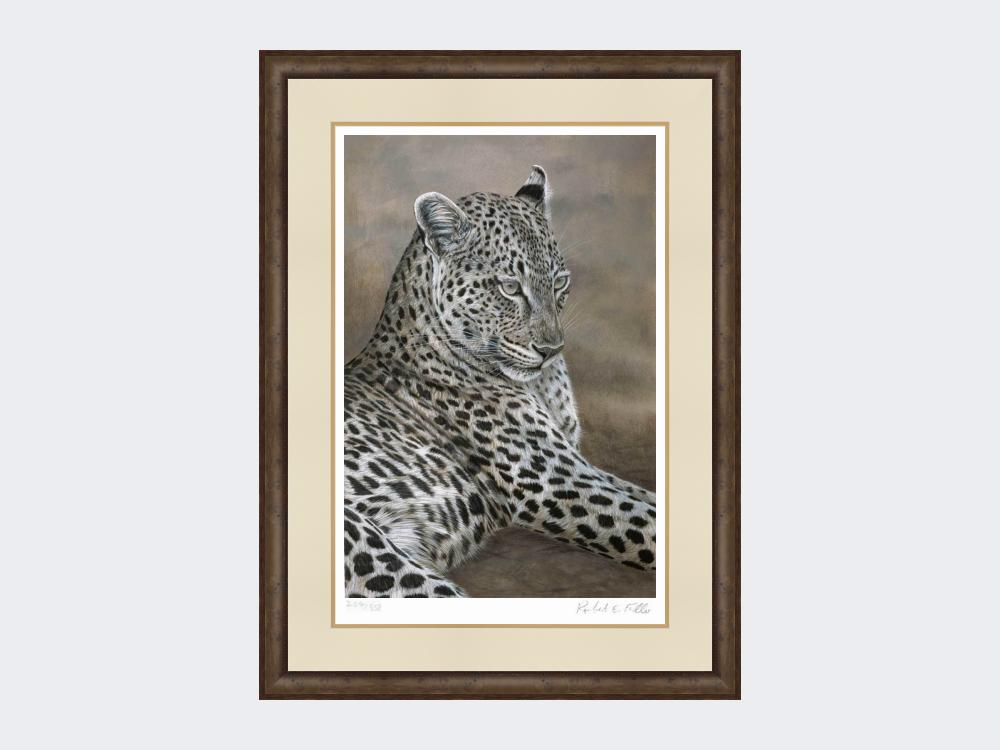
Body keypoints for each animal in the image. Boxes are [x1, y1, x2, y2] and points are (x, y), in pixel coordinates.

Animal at [343, 165, 656, 597]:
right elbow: (646, 523)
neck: (542, 384)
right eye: (509, 288)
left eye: (559, 283)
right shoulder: (553, 481)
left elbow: (646, 496)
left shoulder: (576, 464)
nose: (552, 349)